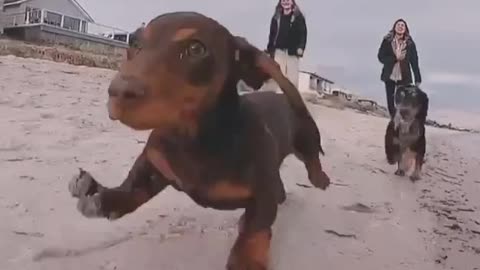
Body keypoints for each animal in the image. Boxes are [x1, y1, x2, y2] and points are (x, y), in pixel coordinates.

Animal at [67, 11, 330, 268]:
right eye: (135, 43)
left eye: (196, 48)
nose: (118, 92)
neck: (192, 140)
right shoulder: (155, 161)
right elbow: (134, 189)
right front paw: (102, 198)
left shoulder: (263, 193)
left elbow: (254, 231)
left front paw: (246, 260)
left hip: (307, 136)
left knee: (312, 158)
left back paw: (320, 178)